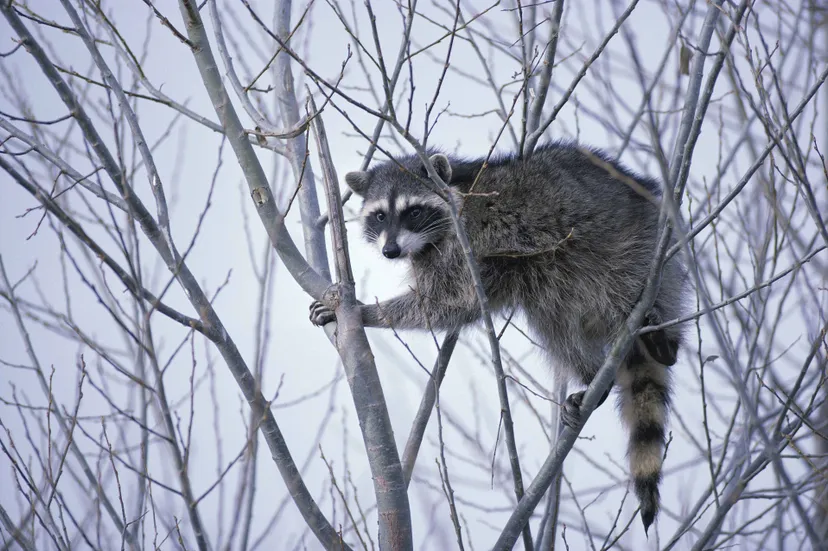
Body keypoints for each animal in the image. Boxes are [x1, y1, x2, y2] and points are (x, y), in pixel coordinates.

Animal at [310, 141, 687, 532]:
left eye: (413, 211)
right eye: (380, 216)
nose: (390, 251)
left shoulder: (465, 244)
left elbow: (447, 301)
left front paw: (367, 312)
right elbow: (457, 306)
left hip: (633, 248)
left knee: (620, 285)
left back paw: (663, 340)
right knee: (553, 319)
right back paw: (592, 375)